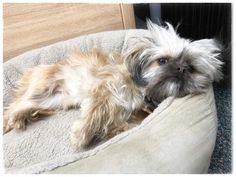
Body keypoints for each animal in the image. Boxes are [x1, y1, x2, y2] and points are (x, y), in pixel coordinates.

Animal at [3, 20, 223, 148]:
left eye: (191, 68)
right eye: (162, 61)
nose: (180, 68)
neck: (142, 91)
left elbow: (118, 124)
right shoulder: (103, 90)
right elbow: (96, 113)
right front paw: (81, 134)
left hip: (53, 101)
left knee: (23, 107)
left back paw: (19, 119)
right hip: (41, 87)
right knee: (15, 105)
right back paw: (11, 120)